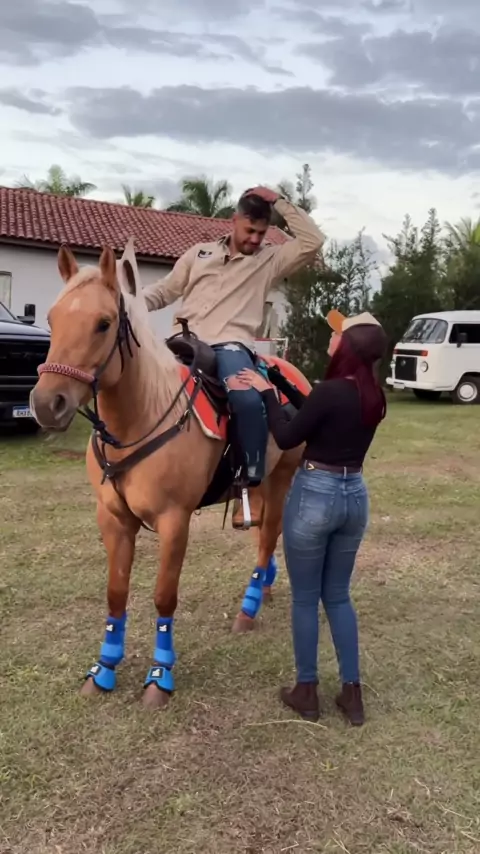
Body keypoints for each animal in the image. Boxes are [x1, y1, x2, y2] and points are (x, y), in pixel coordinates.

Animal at [30, 239, 312, 710]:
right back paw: (267, 589)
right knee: (264, 537)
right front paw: (103, 670)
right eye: (51, 319)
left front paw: (159, 676)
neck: (142, 415)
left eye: (103, 324)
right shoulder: (113, 519)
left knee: (267, 536)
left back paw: (249, 609)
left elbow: (164, 596)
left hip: (281, 477)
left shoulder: (174, 521)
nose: (46, 404)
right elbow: (116, 593)